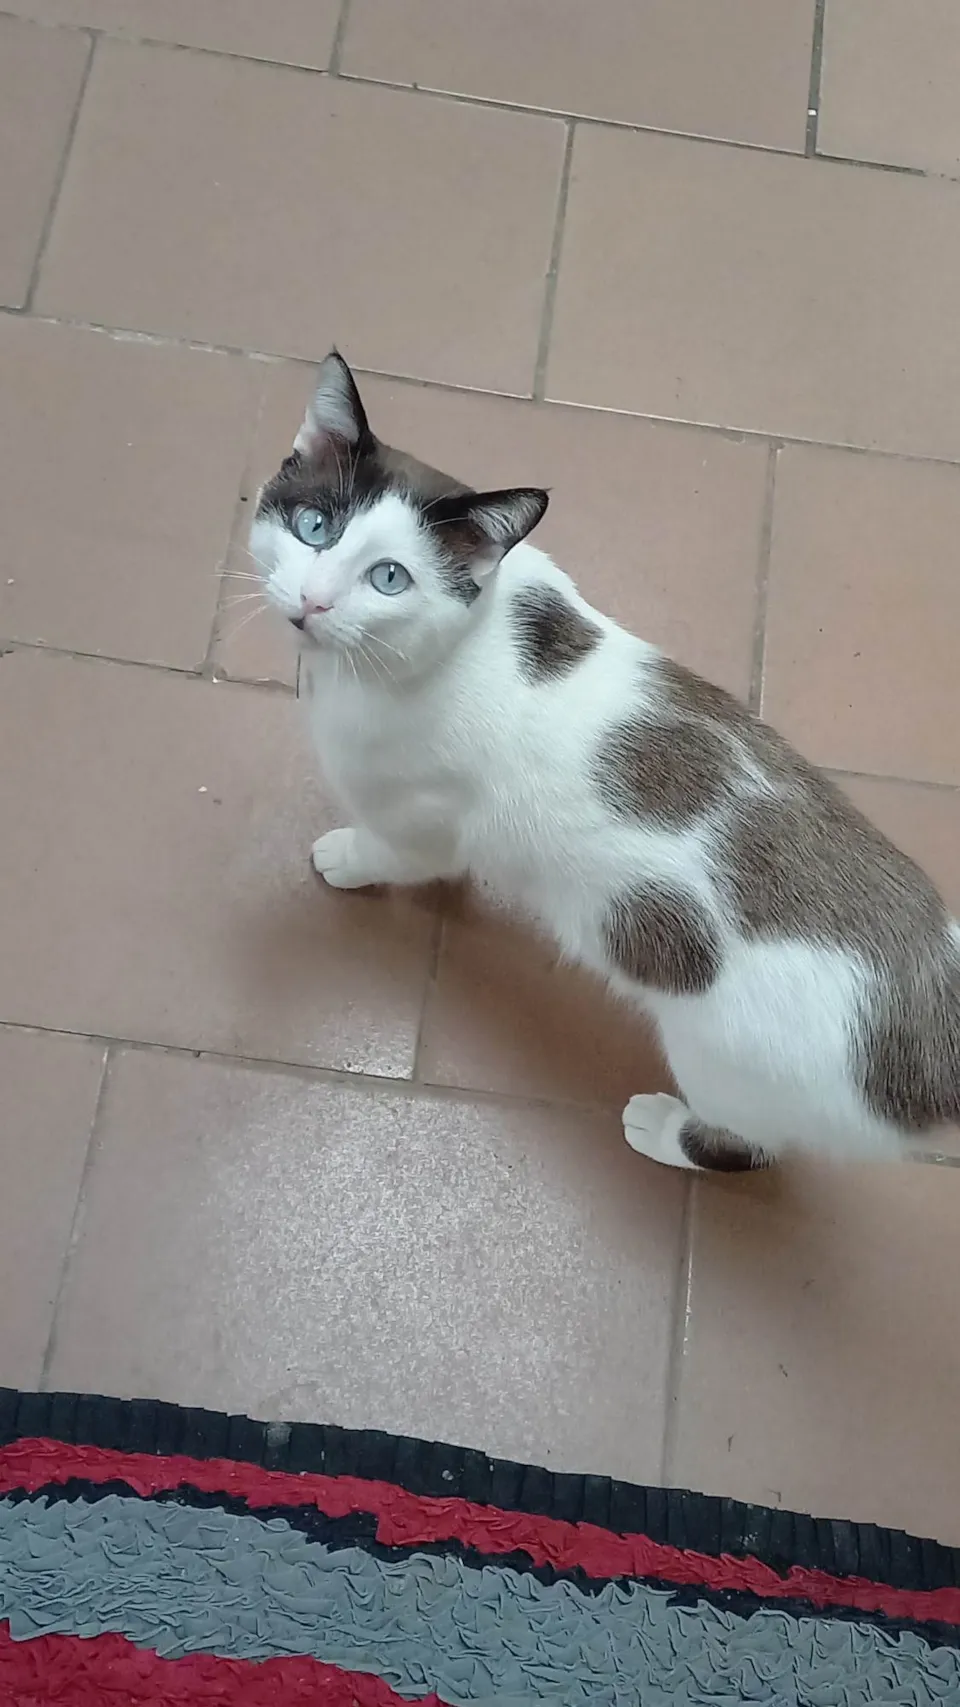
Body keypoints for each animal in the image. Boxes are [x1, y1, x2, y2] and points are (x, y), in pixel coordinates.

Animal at [249, 350, 960, 1172]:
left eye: (389, 577)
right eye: (314, 526)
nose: (313, 602)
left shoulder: (422, 821)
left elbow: (397, 852)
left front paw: (345, 857)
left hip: (727, 1070)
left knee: (746, 1147)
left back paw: (660, 1128)